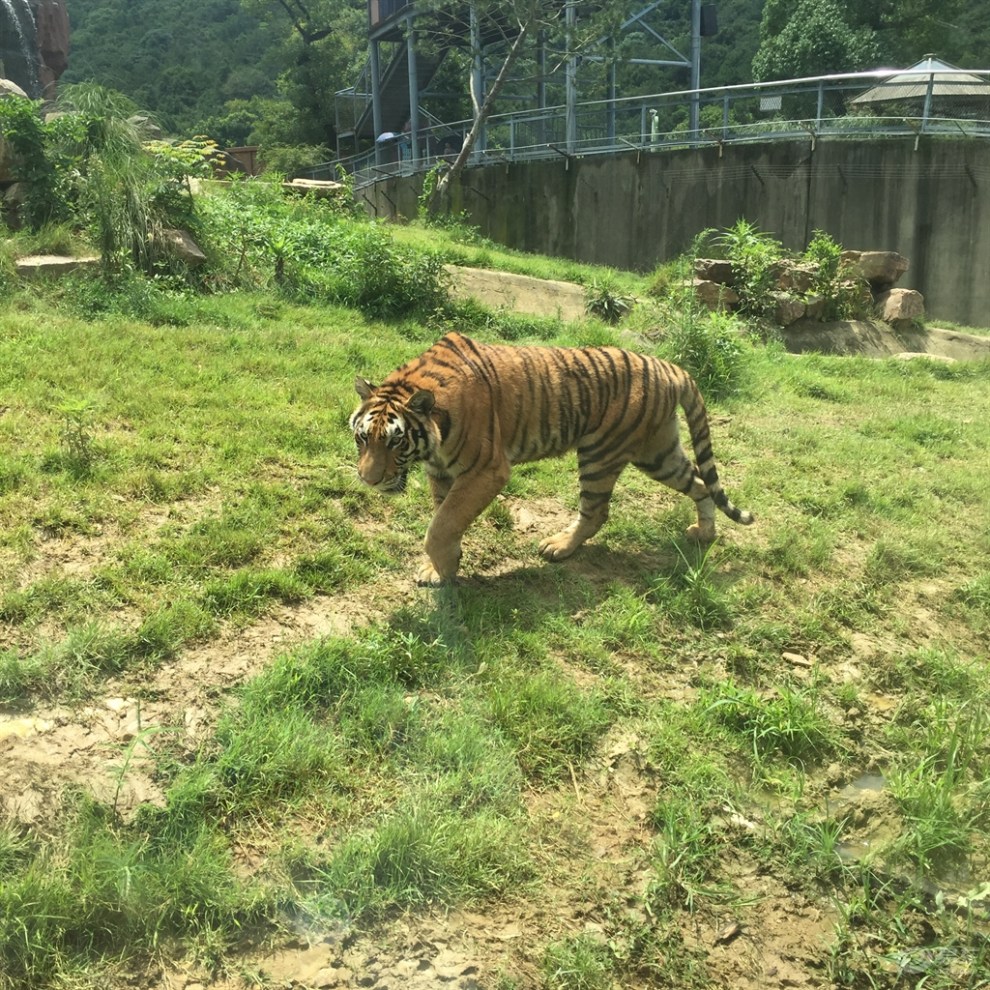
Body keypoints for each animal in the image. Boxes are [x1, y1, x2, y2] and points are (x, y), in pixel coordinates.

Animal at [352, 334, 756, 584]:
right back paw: (704, 534)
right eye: (363, 438)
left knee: (596, 511)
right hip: (658, 453)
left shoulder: (487, 470)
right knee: (701, 483)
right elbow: (443, 518)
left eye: (396, 442)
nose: (369, 480)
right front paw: (439, 568)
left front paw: (445, 568)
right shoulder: (441, 472)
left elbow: (442, 524)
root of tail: (670, 367)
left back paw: (558, 547)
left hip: (601, 453)